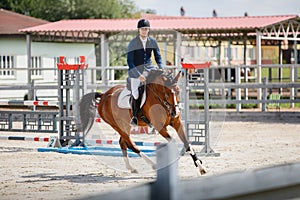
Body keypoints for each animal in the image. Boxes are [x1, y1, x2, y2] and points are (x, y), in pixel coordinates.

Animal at [78, 69, 207, 175]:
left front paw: (200, 166)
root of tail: (104, 95)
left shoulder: (177, 123)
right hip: (117, 125)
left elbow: (187, 143)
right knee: (131, 145)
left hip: (125, 125)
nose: (175, 112)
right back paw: (153, 165)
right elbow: (174, 142)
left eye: (178, 91)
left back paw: (131, 168)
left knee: (122, 143)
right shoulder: (160, 127)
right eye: (167, 93)